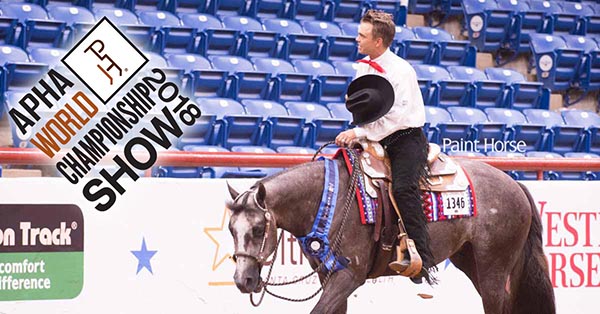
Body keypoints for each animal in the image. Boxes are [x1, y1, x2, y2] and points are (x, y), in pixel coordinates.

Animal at [227, 159, 556, 314]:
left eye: (258, 229)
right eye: (231, 229)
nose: (243, 280)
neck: (328, 199)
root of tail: (515, 185)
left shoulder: (350, 276)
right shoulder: (328, 275)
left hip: (493, 267)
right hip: (473, 261)